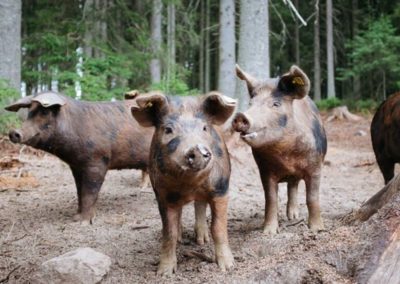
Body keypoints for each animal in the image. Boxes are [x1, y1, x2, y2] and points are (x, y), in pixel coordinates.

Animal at [5, 91, 153, 222]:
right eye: (29, 112)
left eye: (45, 112)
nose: (13, 132)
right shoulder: (76, 165)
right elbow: (79, 191)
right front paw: (75, 217)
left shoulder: (97, 161)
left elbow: (89, 192)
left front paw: (83, 222)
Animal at [130, 90, 238, 276]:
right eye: (168, 129)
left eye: (204, 128)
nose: (197, 148)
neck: (191, 186)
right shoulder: (163, 195)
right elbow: (169, 233)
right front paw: (164, 273)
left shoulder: (221, 189)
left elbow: (218, 227)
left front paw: (228, 267)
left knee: (200, 205)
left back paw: (202, 240)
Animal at [231, 65, 328, 234]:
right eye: (251, 103)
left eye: (276, 104)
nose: (240, 116)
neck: (286, 155)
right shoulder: (264, 170)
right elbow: (270, 199)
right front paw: (268, 232)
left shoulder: (316, 165)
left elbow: (312, 197)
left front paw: (317, 230)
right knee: (291, 186)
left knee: (293, 186)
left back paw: (293, 217)